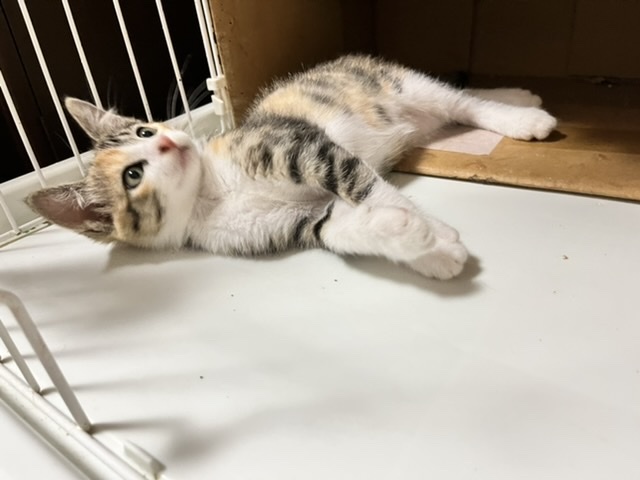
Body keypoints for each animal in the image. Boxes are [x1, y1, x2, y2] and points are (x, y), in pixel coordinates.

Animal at [27, 55, 556, 279]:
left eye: (142, 131)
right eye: (132, 176)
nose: (170, 140)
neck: (210, 192)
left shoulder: (302, 148)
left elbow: (368, 186)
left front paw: (438, 236)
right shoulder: (290, 223)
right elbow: (340, 229)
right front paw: (423, 247)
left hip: (395, 83)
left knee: (461, 99)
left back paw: (522, 110)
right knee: (454, 109)